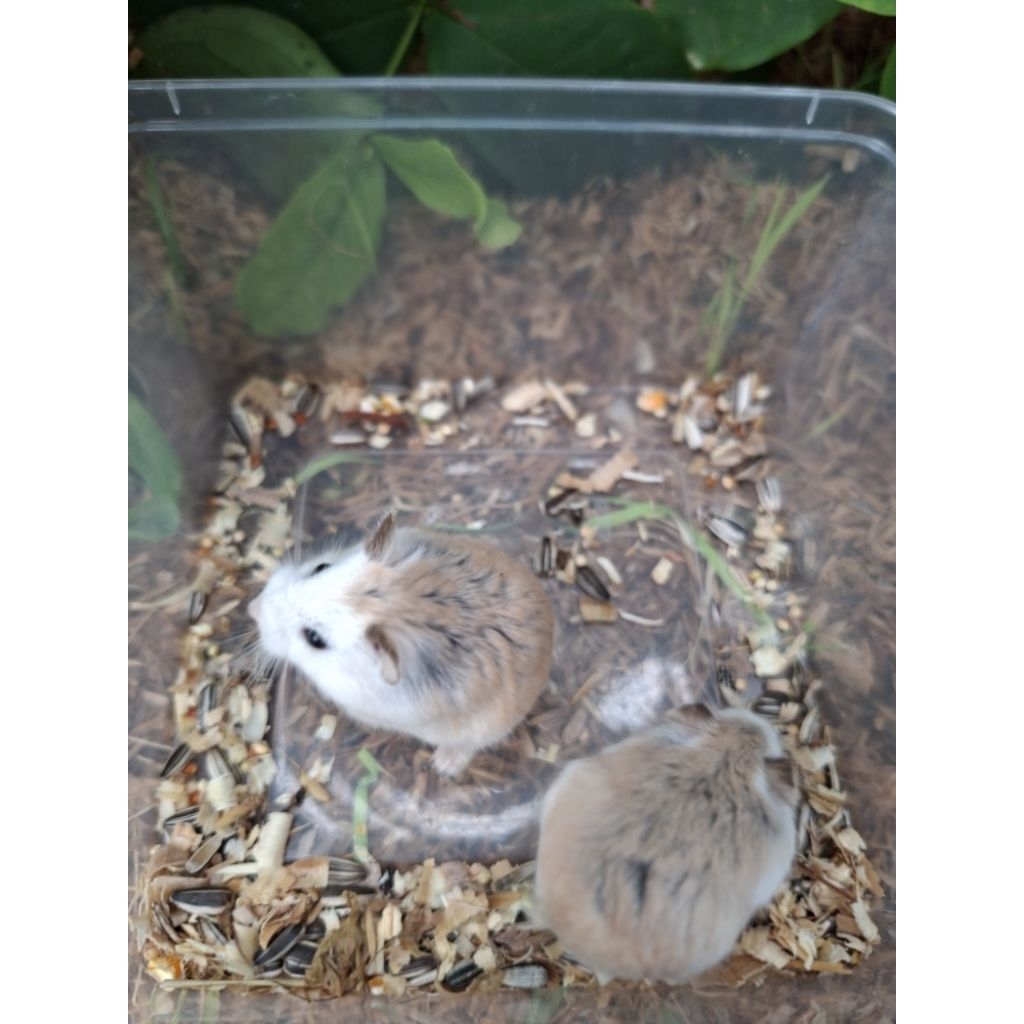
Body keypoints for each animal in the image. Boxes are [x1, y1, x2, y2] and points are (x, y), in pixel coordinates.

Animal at [248, 512, 555, 777]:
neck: (391, 604)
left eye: (315, 639)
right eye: (320, 567)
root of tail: (549, 637)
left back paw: (443, 765)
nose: (253, 608)